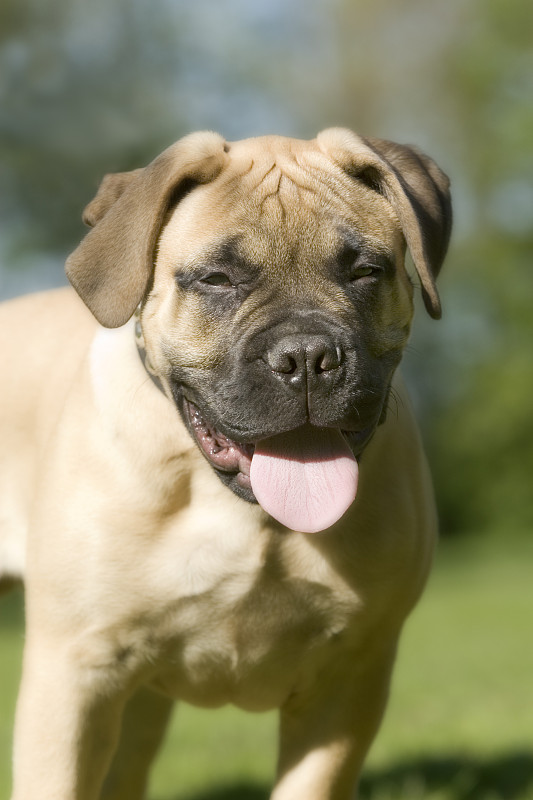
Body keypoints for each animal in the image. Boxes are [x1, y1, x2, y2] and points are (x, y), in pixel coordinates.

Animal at [0, 128, 450, 796]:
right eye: (217, 279)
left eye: (366, 272)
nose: (308, 356)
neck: (246, 514)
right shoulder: (74, 673)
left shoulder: (350, 677)